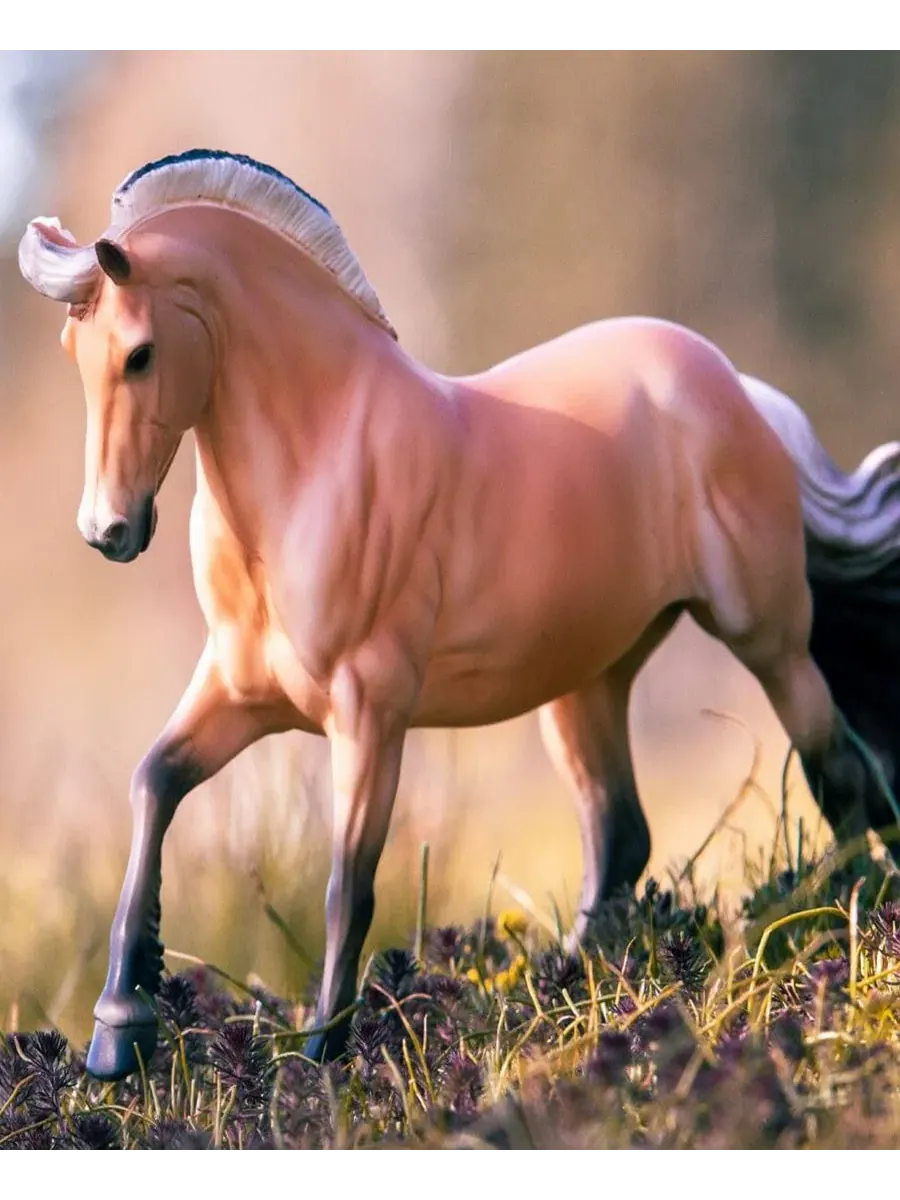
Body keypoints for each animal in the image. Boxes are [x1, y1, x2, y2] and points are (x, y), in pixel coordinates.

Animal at [18, 148, 900, 1083]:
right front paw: (119, 1034)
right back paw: (568, 993)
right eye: (75, 350)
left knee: (839, 771)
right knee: (620, 835)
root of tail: (737, 388)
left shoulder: (370, 711)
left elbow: (348, 881)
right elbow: (154, 785)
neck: (316, 462)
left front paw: (321, 1058)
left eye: (140, 354)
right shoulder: (239, 695)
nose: (108, 531)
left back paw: (835, 935)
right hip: (587, 682)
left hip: (767, 639)